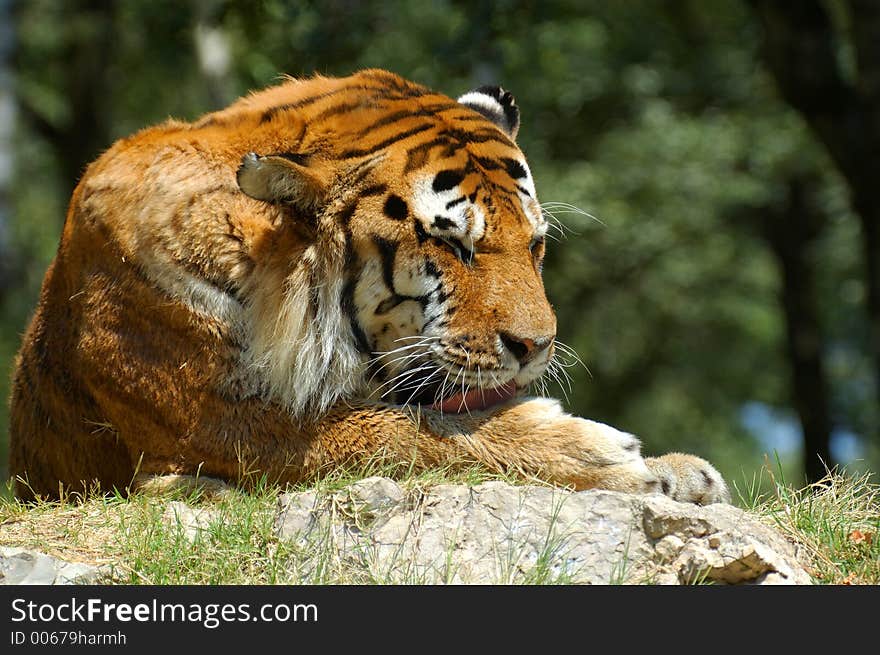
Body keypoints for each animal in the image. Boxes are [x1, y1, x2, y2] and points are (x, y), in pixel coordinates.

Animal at [6, 69, 728, 504]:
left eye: (536, 245)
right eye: (453, 244)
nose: (538, 347)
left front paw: (682, 470)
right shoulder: (218, 421)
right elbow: (401, 434)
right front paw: (603, 454)